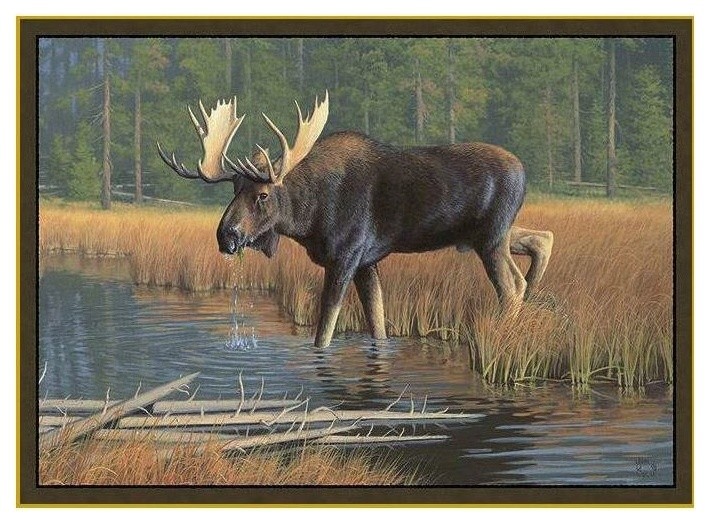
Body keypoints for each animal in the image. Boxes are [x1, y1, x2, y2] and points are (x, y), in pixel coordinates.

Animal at [157, 93, 554, 348]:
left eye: (263, 194)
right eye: (234, 188)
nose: (226, 235)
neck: (308, 218)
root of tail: (524, 171)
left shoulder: (345, 256)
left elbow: (324, 330)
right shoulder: (368, 262)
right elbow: (377, 322)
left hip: (490, 237)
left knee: (511, 288)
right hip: (485, 236)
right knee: (541, 241)